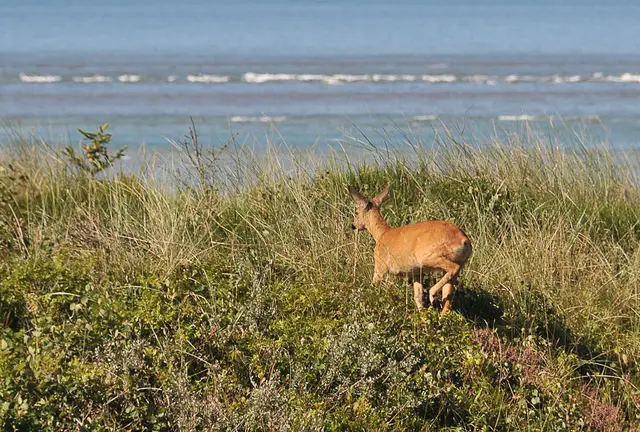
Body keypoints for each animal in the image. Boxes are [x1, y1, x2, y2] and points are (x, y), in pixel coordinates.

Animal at [349, 183, 472, 315]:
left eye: (356, 212)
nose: (353, 226)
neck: (381, 235)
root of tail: (464, 240)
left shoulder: (380, 266)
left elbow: (374, 286)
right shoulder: (417, 272)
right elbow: (417, 296)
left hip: (429, 256)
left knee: (453, 268)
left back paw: (432, 295)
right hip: (455, 262)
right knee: (447, 297)